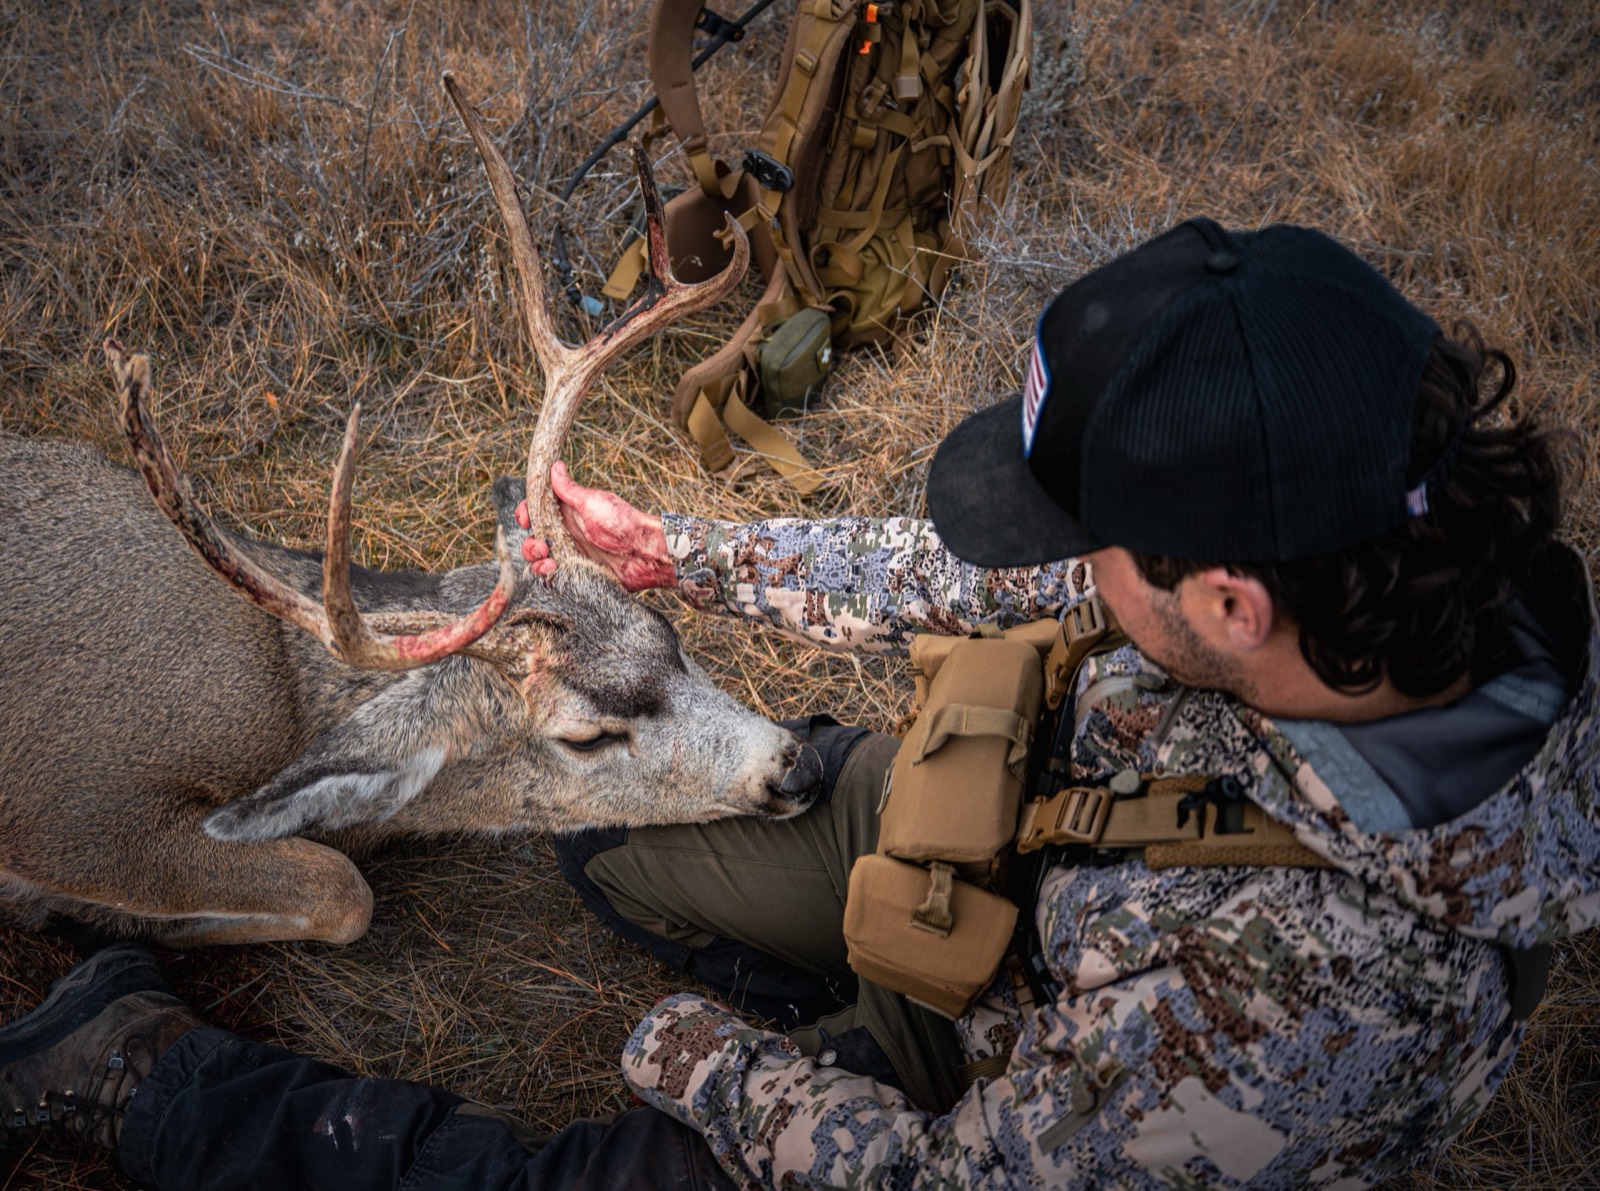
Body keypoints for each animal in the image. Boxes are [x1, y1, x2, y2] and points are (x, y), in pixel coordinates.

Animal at [0, 75, 821, 948]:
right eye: (587, 738)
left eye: (668, 634)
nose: (798, 764)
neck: (286, 695)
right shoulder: (80, 814)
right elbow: (343, 890)